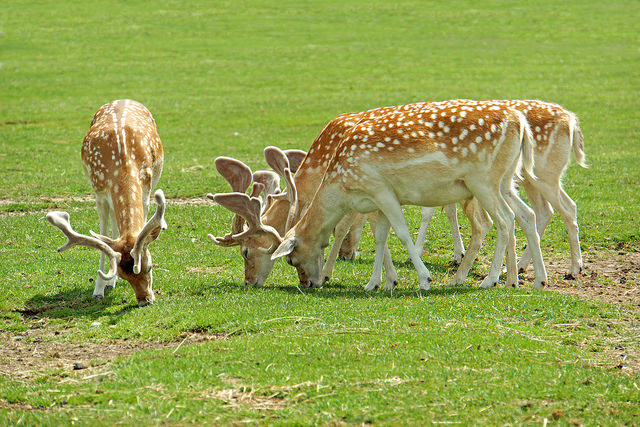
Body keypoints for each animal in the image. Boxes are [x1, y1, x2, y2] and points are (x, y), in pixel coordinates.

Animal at [47, 100, 168, 308]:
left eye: (150, 266)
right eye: (124, 275)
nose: (145, 301)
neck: (123, 164)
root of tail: (123, 99)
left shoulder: (146, 190)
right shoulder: (100, 194)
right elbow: (104, 236)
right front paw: (99, 290)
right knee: (113, 228)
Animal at [270, 99, 552, 290]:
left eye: (291, 259)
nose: (308, 283)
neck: (341, 184)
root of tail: (521, 123)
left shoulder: (380, 188)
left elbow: (402, 233)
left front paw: (424, 279)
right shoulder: (379, 198)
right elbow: (381, 237)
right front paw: (377, 283)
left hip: (483, 180)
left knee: (503, 220)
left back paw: (490, 280)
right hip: (505, 181)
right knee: (524, 214)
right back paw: (533, 280)